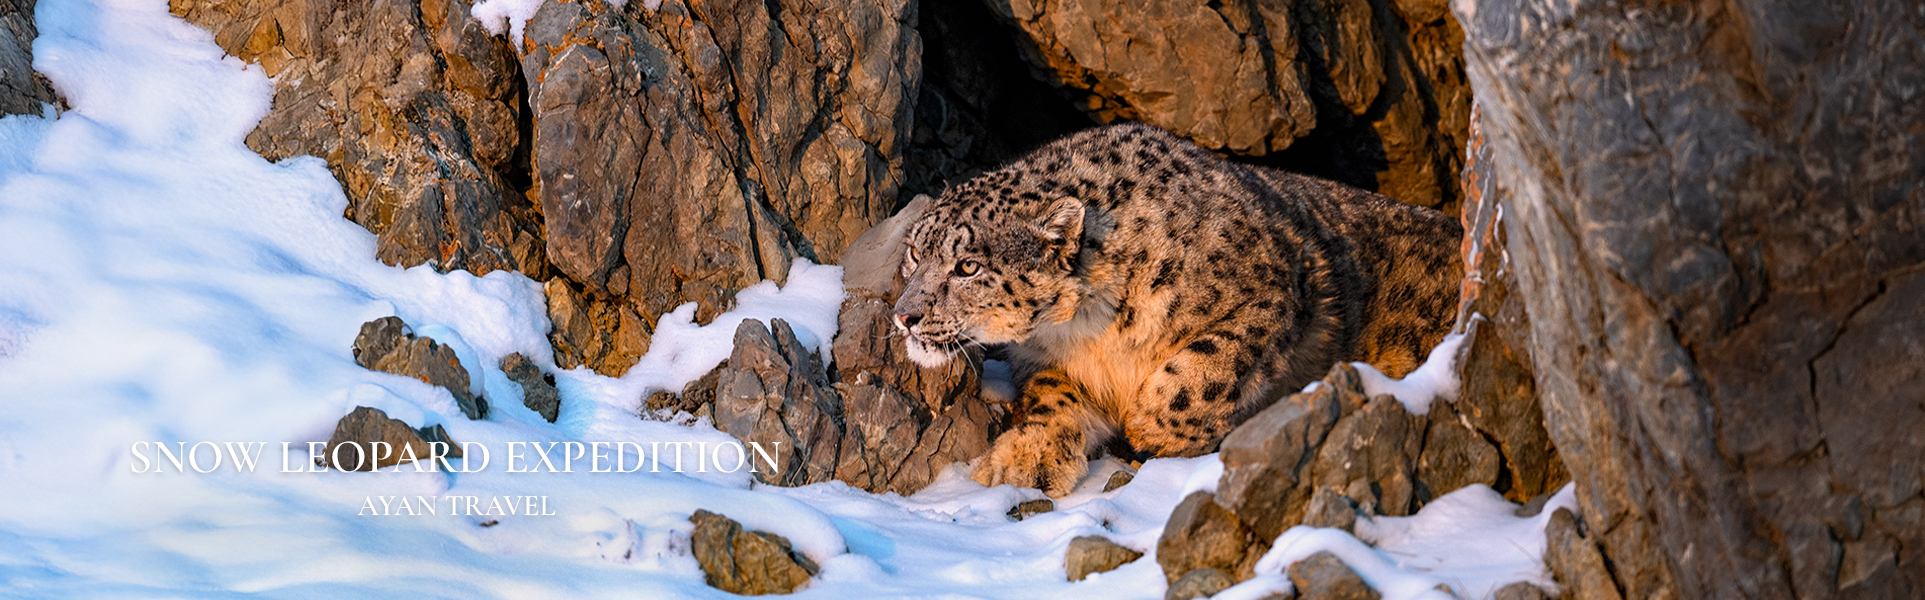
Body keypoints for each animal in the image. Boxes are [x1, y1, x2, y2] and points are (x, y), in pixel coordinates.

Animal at [892, 123, 1463, 497]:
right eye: (916, 252)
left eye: (967, 266)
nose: (904, 316)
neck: (1087, 330)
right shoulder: (1046, 357)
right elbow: (1053, 395)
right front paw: (1021, 461)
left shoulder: (1272, 293)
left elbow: (1203, 372)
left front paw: (1148, 428)